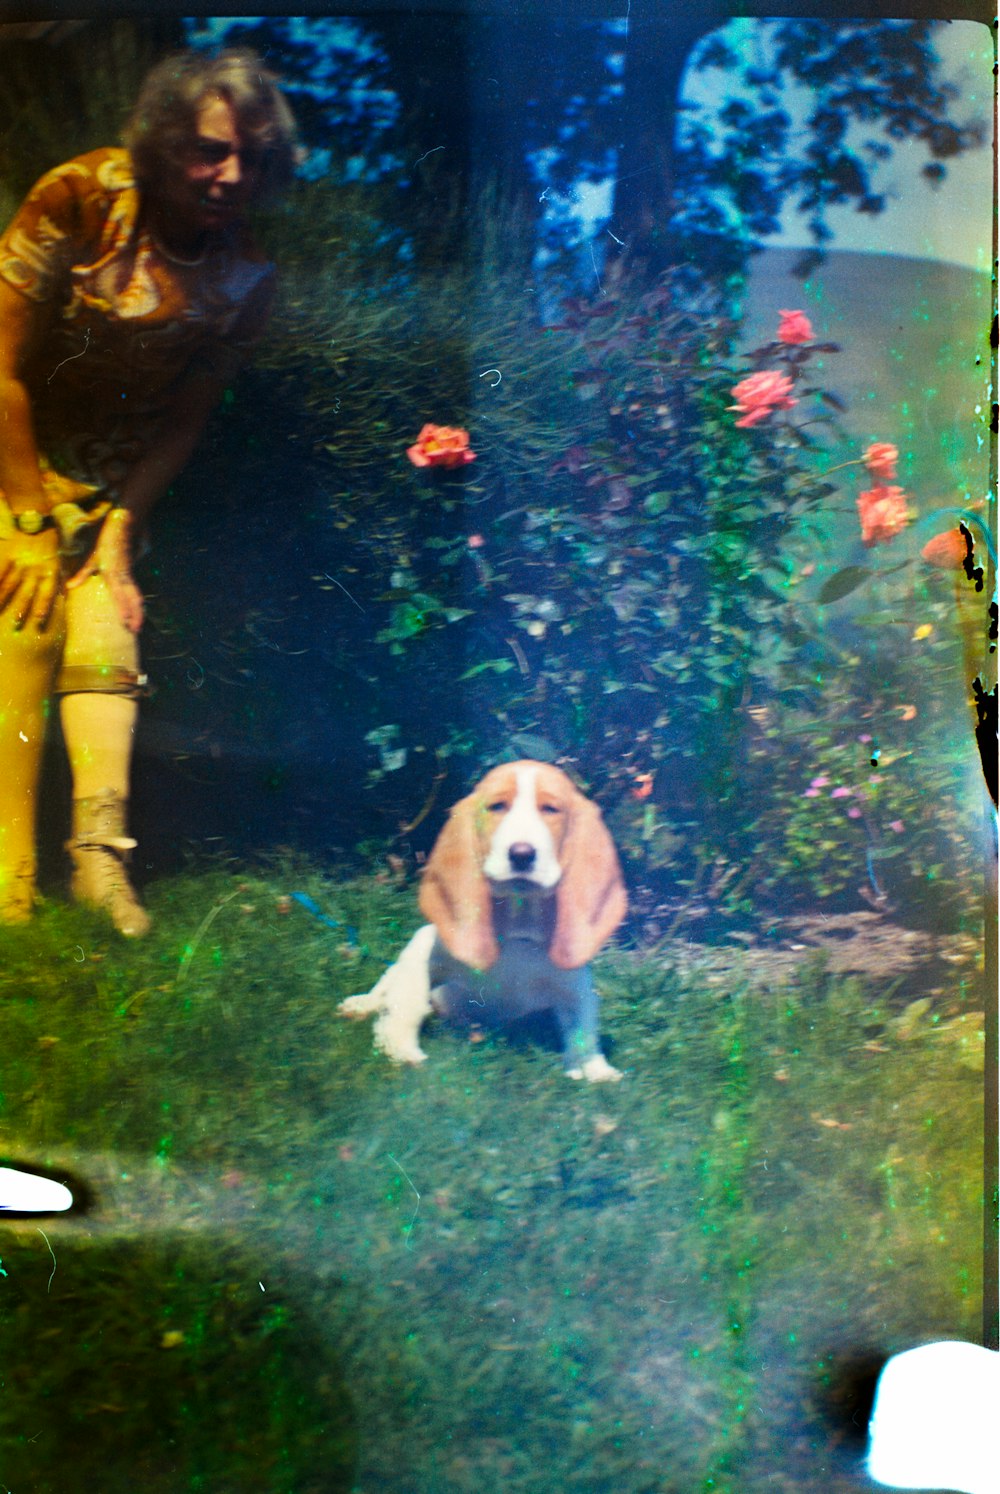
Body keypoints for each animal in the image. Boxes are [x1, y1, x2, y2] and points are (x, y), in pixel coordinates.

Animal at [339, 764, 627, 1081]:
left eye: (551, 809)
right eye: (497, 806)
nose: (522, 854)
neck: (517, 929)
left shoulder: (576, 984)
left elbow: (584, 1027)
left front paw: (594, 1068)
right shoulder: (425, 952)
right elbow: (407, 1003)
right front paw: (400, 1048)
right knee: (387, 987)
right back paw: (361, 1004)